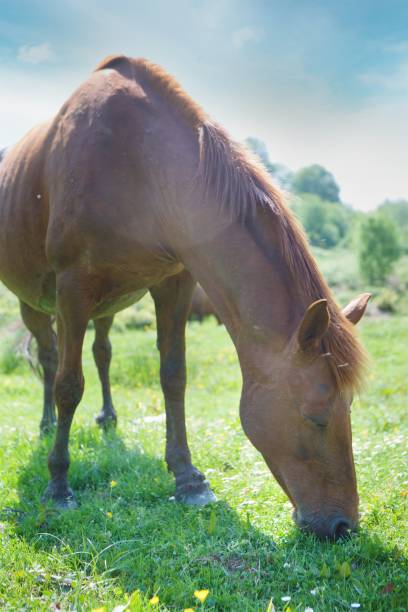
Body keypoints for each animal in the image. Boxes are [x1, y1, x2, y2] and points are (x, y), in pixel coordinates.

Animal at [0, 55, 370, 536]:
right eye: (316, 415)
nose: (344, 526)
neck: (140, 169)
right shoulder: (72, 287)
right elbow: (67, 385)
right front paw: (58, 486)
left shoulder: (174, 283)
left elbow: (173, 375)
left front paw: (188, 478)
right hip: (38, 302)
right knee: (49, 359)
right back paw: (47, 426)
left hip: (105, 305)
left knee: (102, 352)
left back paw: (108, 418)